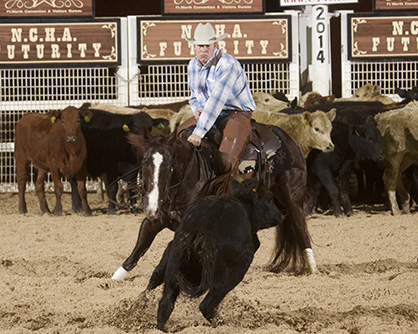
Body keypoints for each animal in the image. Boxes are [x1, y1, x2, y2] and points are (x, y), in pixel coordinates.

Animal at [111, 122, 316, 280]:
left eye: (168, 165)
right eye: (144, 162)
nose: (151, 206)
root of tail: (289, 139)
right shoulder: (155, 221)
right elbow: (138, 249)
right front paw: (114, 278)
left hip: (291, 198)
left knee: (300, 229)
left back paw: (313, 268)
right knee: (254, 242)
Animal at [142, 179, 282, 330]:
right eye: (269, 199)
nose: (280, 215)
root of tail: (203, 226)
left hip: (174, 267)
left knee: (165, 302)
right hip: (232, 275)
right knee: (206, 305)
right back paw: (222, 323)